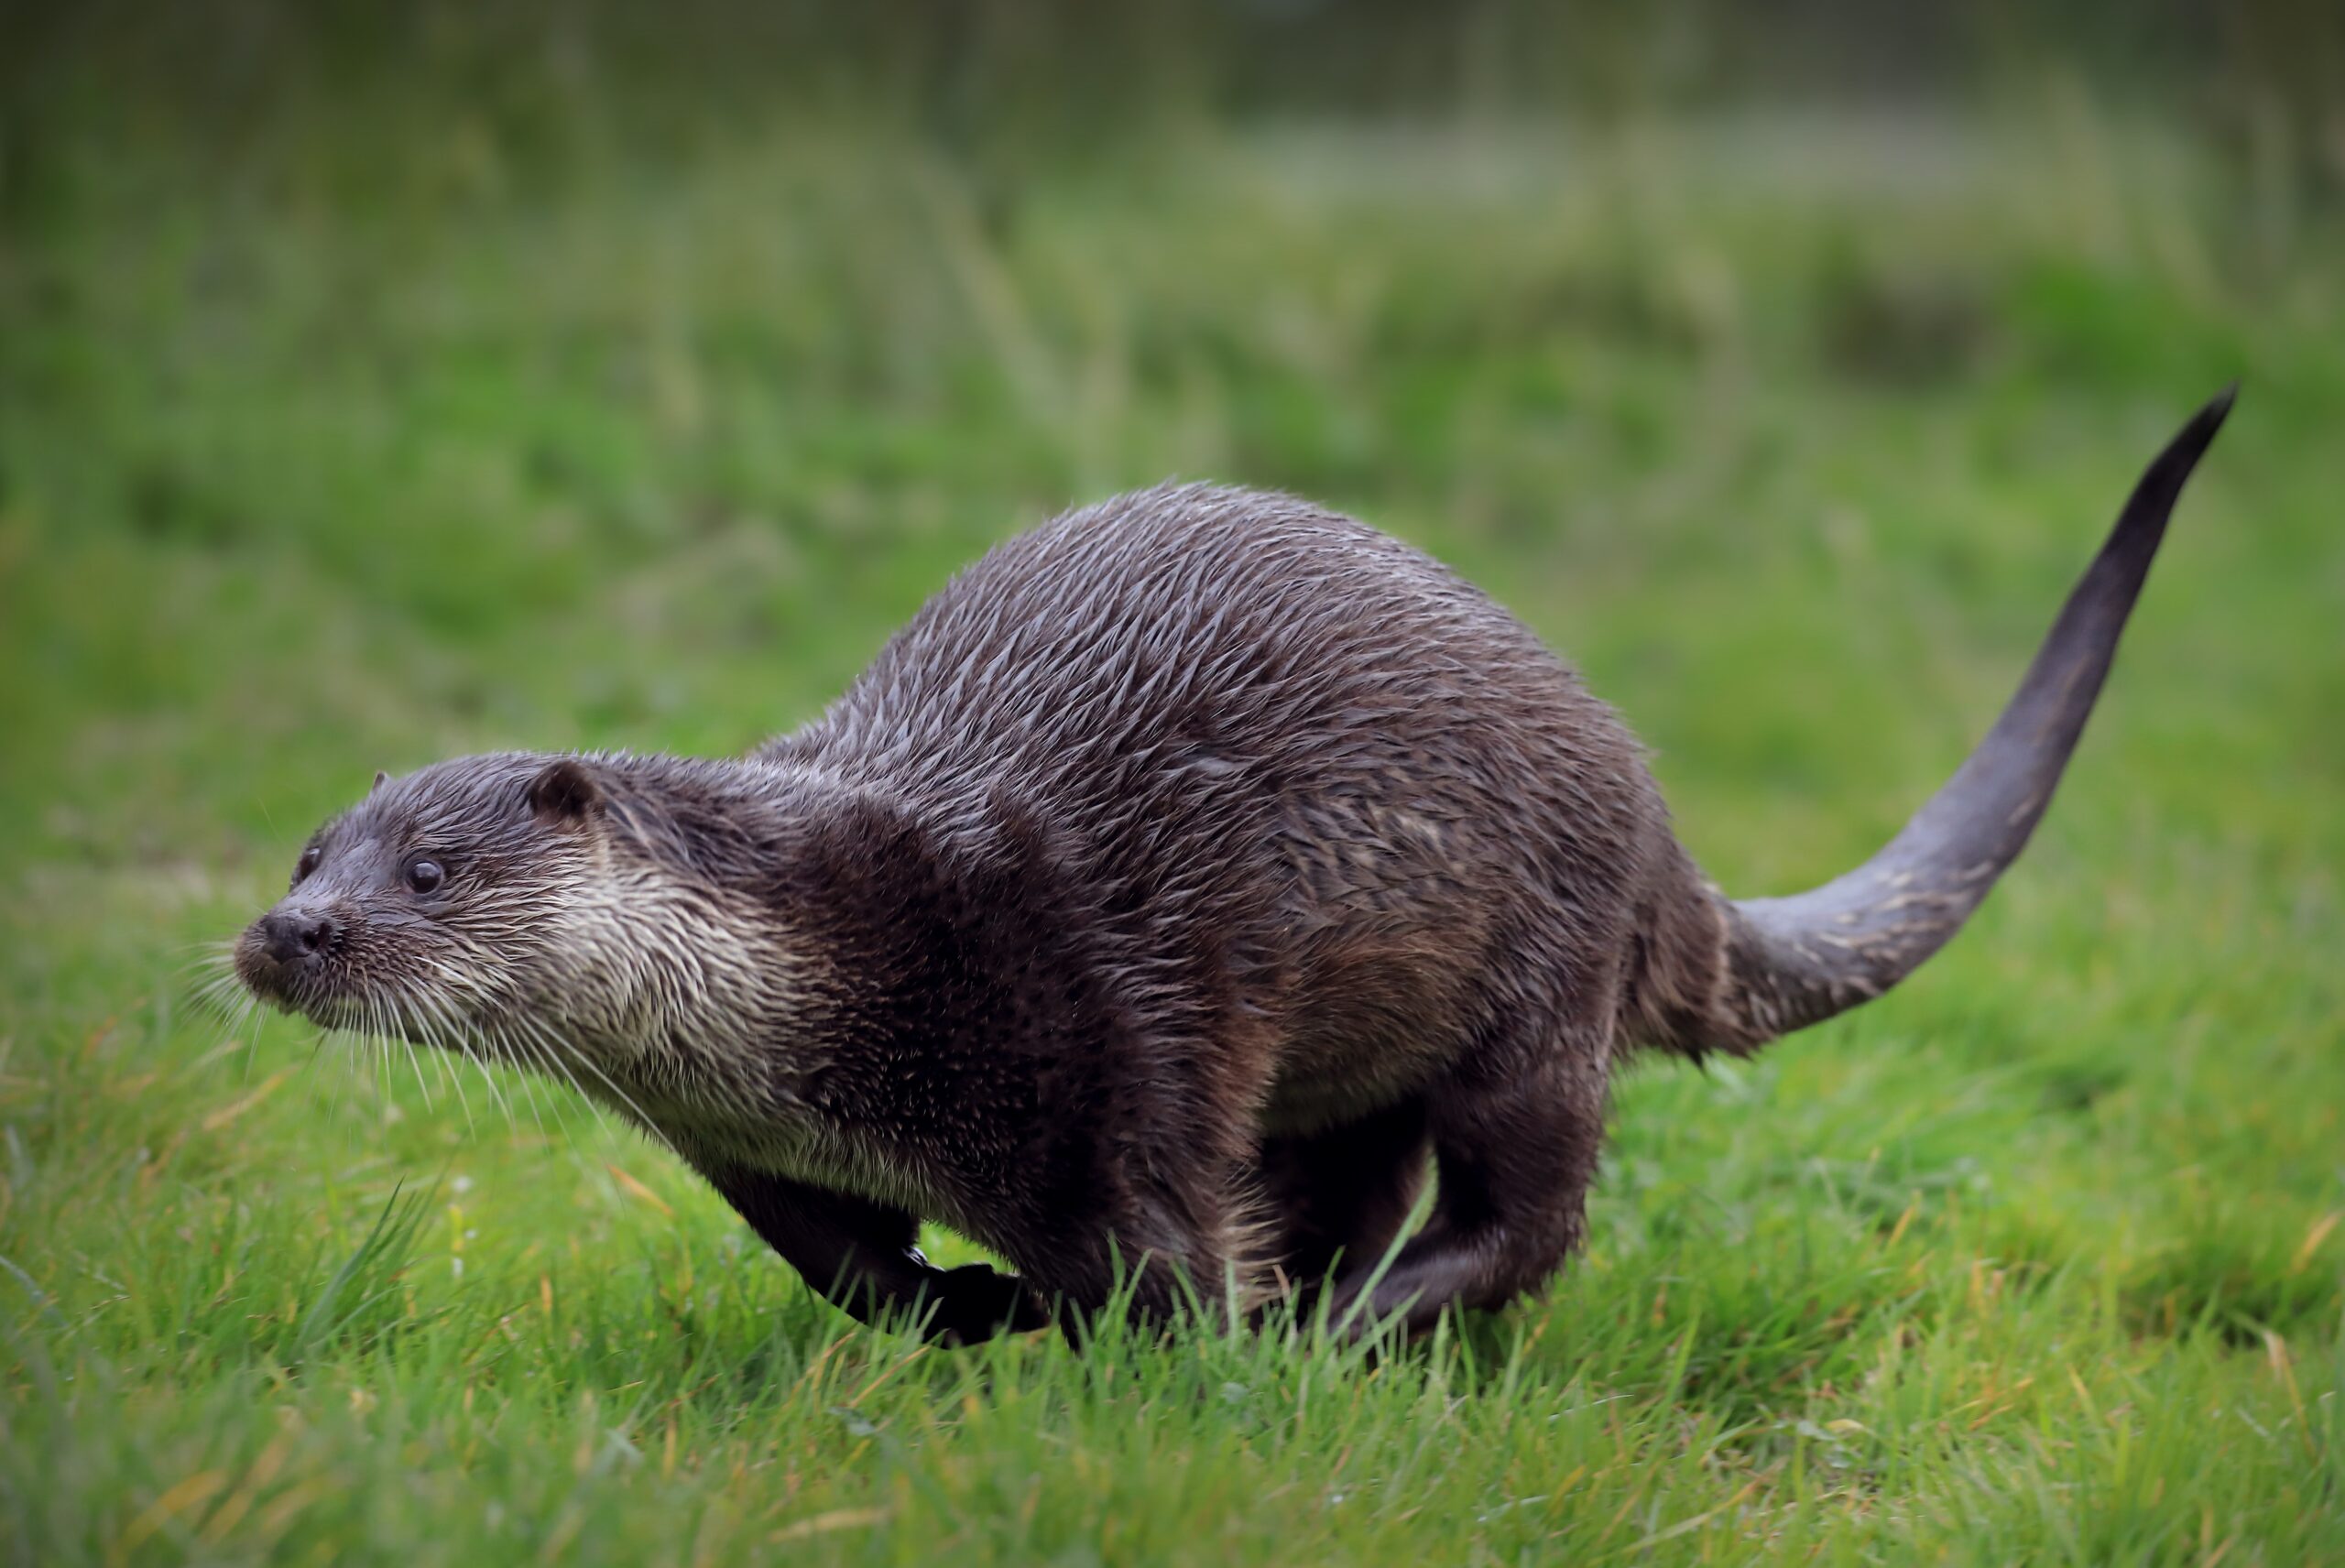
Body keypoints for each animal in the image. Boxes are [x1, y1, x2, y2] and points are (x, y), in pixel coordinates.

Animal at [235, 390, 2232, 1343]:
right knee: (1366, 1174)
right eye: (312, 845)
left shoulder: (1123, 1013)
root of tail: (1651, 800)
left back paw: (1347, 1329)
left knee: (1525, 1209)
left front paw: (1175, 1370)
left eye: (430, 869)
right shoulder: (753, 1150)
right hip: (1365, 1051)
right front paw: (970, 1312)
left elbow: (1162, 1255)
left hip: (1542, 969)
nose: (289, 932)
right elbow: (849, 1267)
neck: (851, 960)